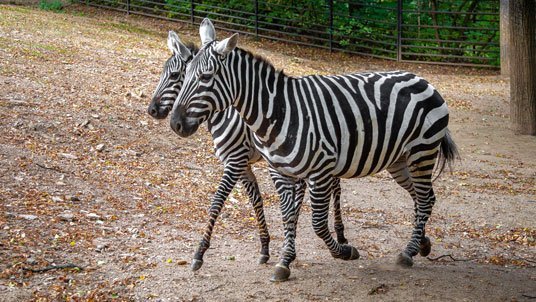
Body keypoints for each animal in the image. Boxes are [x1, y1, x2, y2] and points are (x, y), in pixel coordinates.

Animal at [147, 30, 348, 272]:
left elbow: (217, 202)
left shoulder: (235, 160)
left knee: (334, 186)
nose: (152, 110)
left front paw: (200, 253)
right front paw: (265, 248)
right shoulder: (244, 165)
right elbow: (256, 200)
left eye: (175, 75)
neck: (226, 113)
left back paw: (340, 235)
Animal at [170, 19, 458, 284]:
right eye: (185, 75)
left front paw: (344, 251)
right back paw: (422, 244)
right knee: (425, 197)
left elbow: (318, 223)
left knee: (424, 199)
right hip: (399, 160)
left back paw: (408, 252)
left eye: (205, 77)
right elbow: (287, 215)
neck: (278, 111)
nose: (175, 123)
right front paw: (285, 260)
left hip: (422, 152)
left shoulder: (318, 170)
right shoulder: (281, 171)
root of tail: (422, 79)